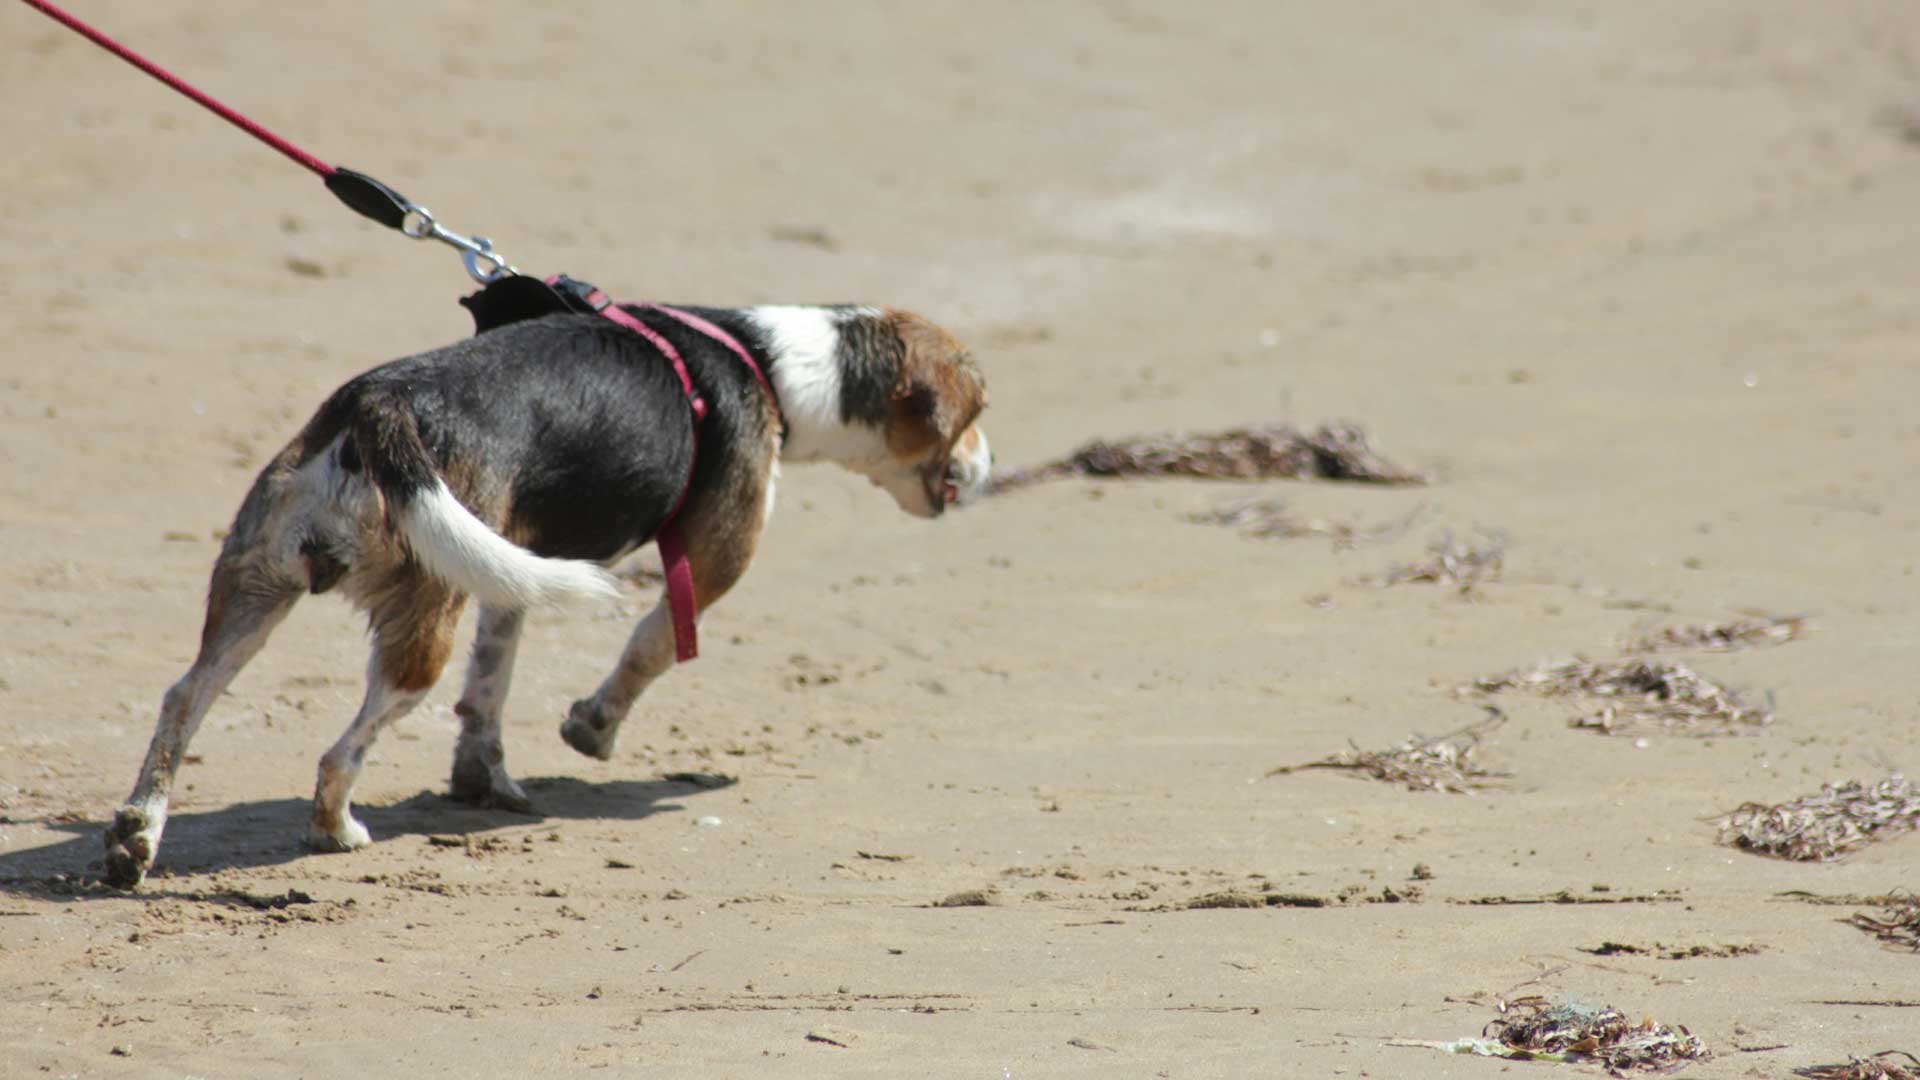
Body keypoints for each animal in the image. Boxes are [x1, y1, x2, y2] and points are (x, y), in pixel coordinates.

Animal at [101, 294, 990, 883]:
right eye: (977, 411)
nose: (991, 470)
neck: (769, 362)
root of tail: (382, 406)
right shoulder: (713, 564)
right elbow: (649, 649)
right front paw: (593, 727)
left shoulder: (506, 575)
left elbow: (488, 694)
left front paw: (485, 782)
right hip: (418, 626)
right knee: (339, 749)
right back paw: (335, 828)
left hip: (260, 583)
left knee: (184, 698)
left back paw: (137, 835)